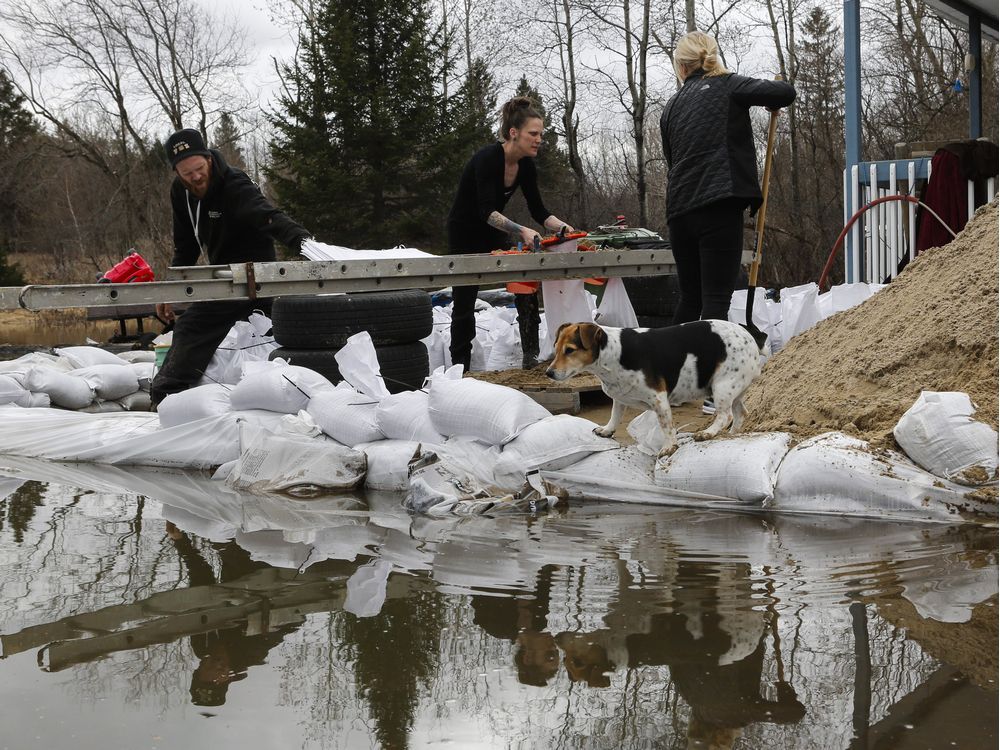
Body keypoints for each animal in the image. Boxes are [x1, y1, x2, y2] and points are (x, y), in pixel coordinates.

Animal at [544, 322, 760, 462]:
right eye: (556, 348)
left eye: (570, 350)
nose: (549, 373)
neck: (614, 353)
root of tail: (749, 335)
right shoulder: (619, 396)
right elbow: (615, 414)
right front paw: (607, 430)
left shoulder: (659, 399)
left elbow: (667, 426)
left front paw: (669, 447)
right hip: (733, 390)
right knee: (741, 413)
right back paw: (731, 434)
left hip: (721, 386)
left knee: (725, 415)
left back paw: (708, 432)